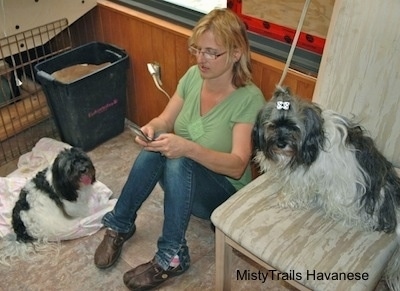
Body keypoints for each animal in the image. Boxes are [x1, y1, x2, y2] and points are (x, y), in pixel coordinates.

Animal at [253, 86, 400, 235]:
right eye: (272, 126)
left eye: (294, 128)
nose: (281, 144)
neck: (315, 138)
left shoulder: (304, 175)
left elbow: (296, 187)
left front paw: (286, 198)